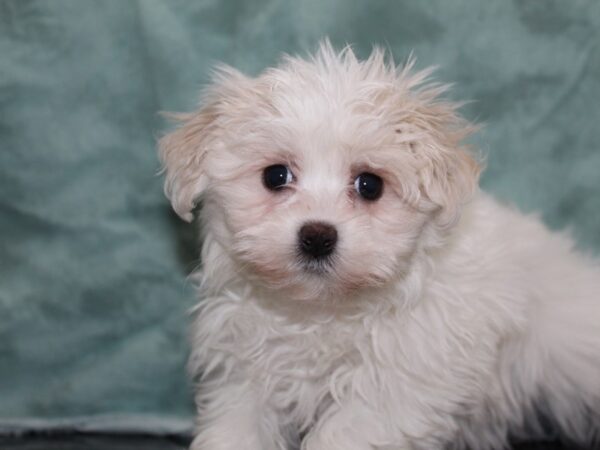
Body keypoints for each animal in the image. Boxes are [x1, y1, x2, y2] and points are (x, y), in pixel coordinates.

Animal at [158, 42, 600, 450]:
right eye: (275, 176)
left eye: (370, 184)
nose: (317, 236)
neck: (322, 312)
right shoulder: (244, 373)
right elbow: (236, 428)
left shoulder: (396, 388)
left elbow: (342, 434)